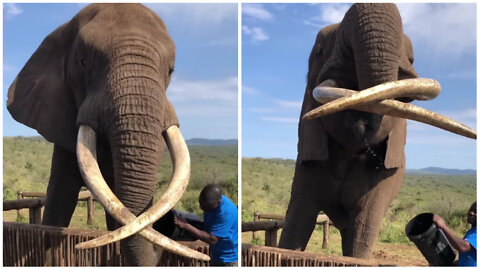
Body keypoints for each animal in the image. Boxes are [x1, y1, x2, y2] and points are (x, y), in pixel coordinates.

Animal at [278, 3, 476, 258]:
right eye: (319, 51)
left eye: (412, 58)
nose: (363, 124)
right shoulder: (307, 156)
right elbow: (297, 222)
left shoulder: (384, 178)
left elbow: (362, 232)